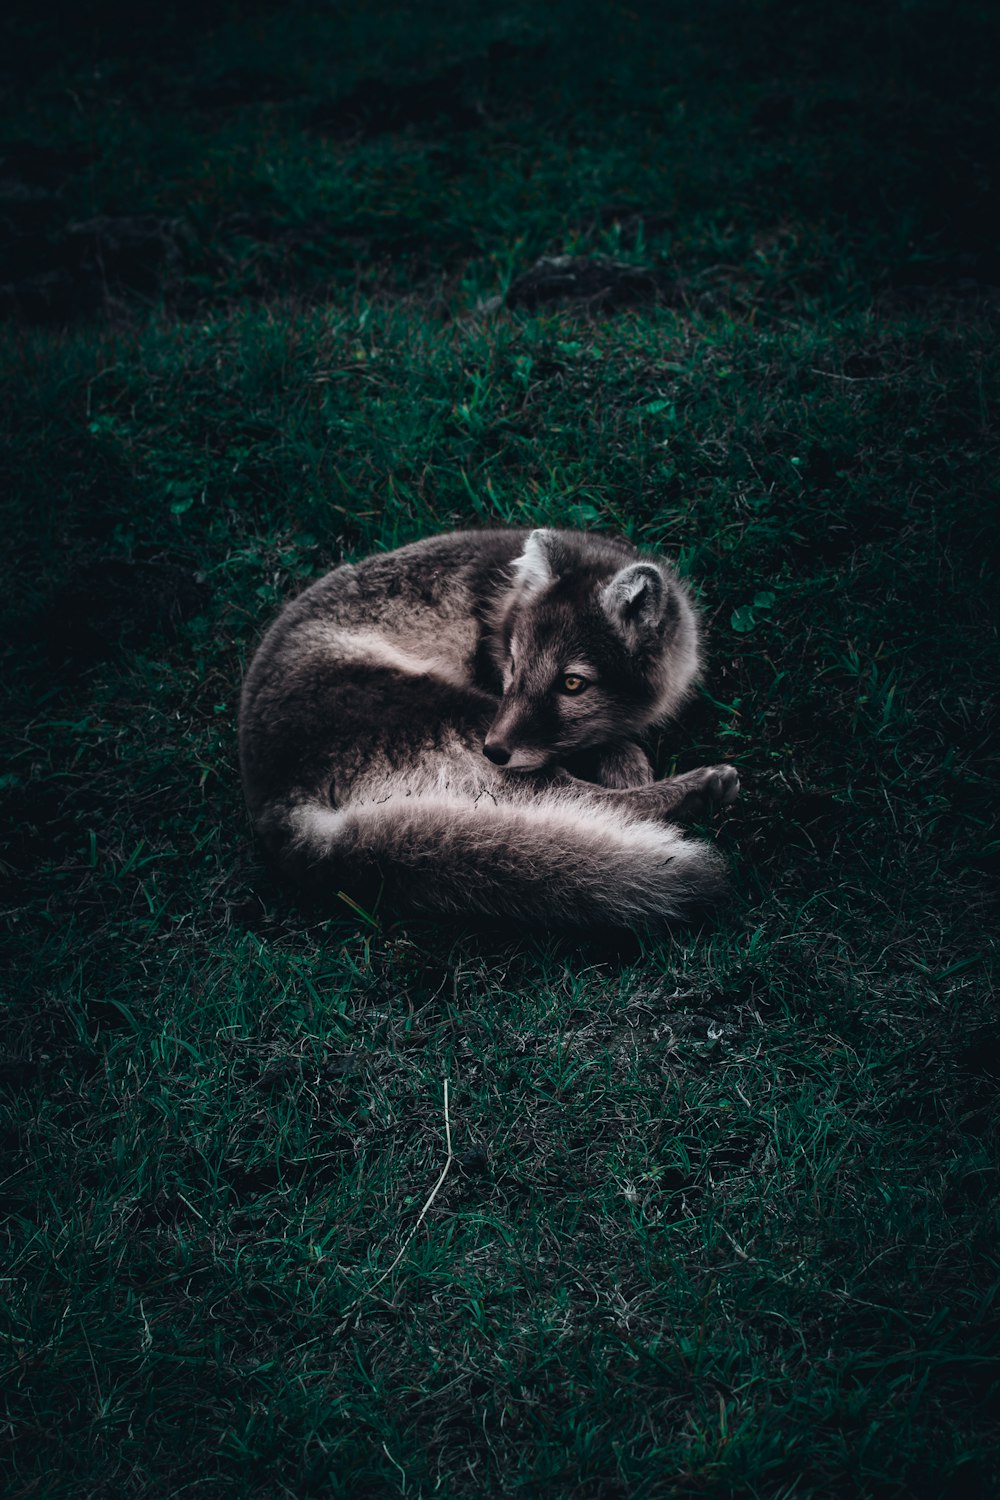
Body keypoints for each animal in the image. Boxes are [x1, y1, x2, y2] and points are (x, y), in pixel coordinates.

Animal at [238, 528, 740, 924]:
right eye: (513, 666)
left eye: (573, 683)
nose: (493, 751)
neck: (500, 604)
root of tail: (275, 805)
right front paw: (632, 766)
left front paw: (624, 759)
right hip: (459, 713)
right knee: (576, 798)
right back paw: (697, 789)